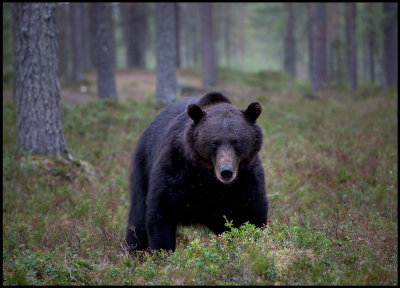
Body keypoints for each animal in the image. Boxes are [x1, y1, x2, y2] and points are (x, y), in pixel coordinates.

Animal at [125, 92, 268, 252]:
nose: (226, 172)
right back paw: (134, 250)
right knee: (138, 218)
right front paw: (163, 252)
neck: (208, 178)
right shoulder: (176, 171)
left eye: (236, 142)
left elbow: (252, 215)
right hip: (143, 167)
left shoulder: (246, 179)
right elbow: (161, 213)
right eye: (214, 142)